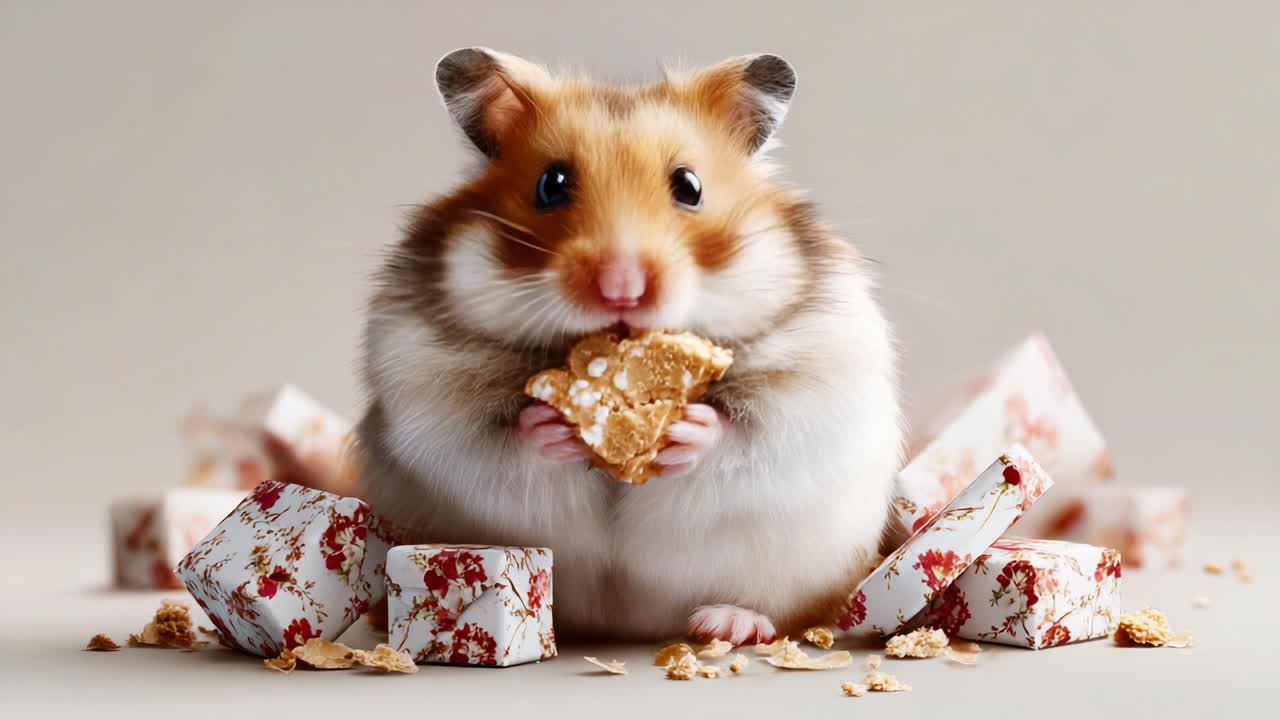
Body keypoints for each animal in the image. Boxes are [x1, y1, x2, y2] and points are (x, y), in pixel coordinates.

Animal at [356, 48, 903, 644]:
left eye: (689, 185)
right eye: (551, 184)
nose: (621, 288)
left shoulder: (810, 390)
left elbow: (743, 434)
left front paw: (687, 428)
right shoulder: (430, 399)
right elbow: (498, 440)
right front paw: (550, 425)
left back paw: (727, 624)